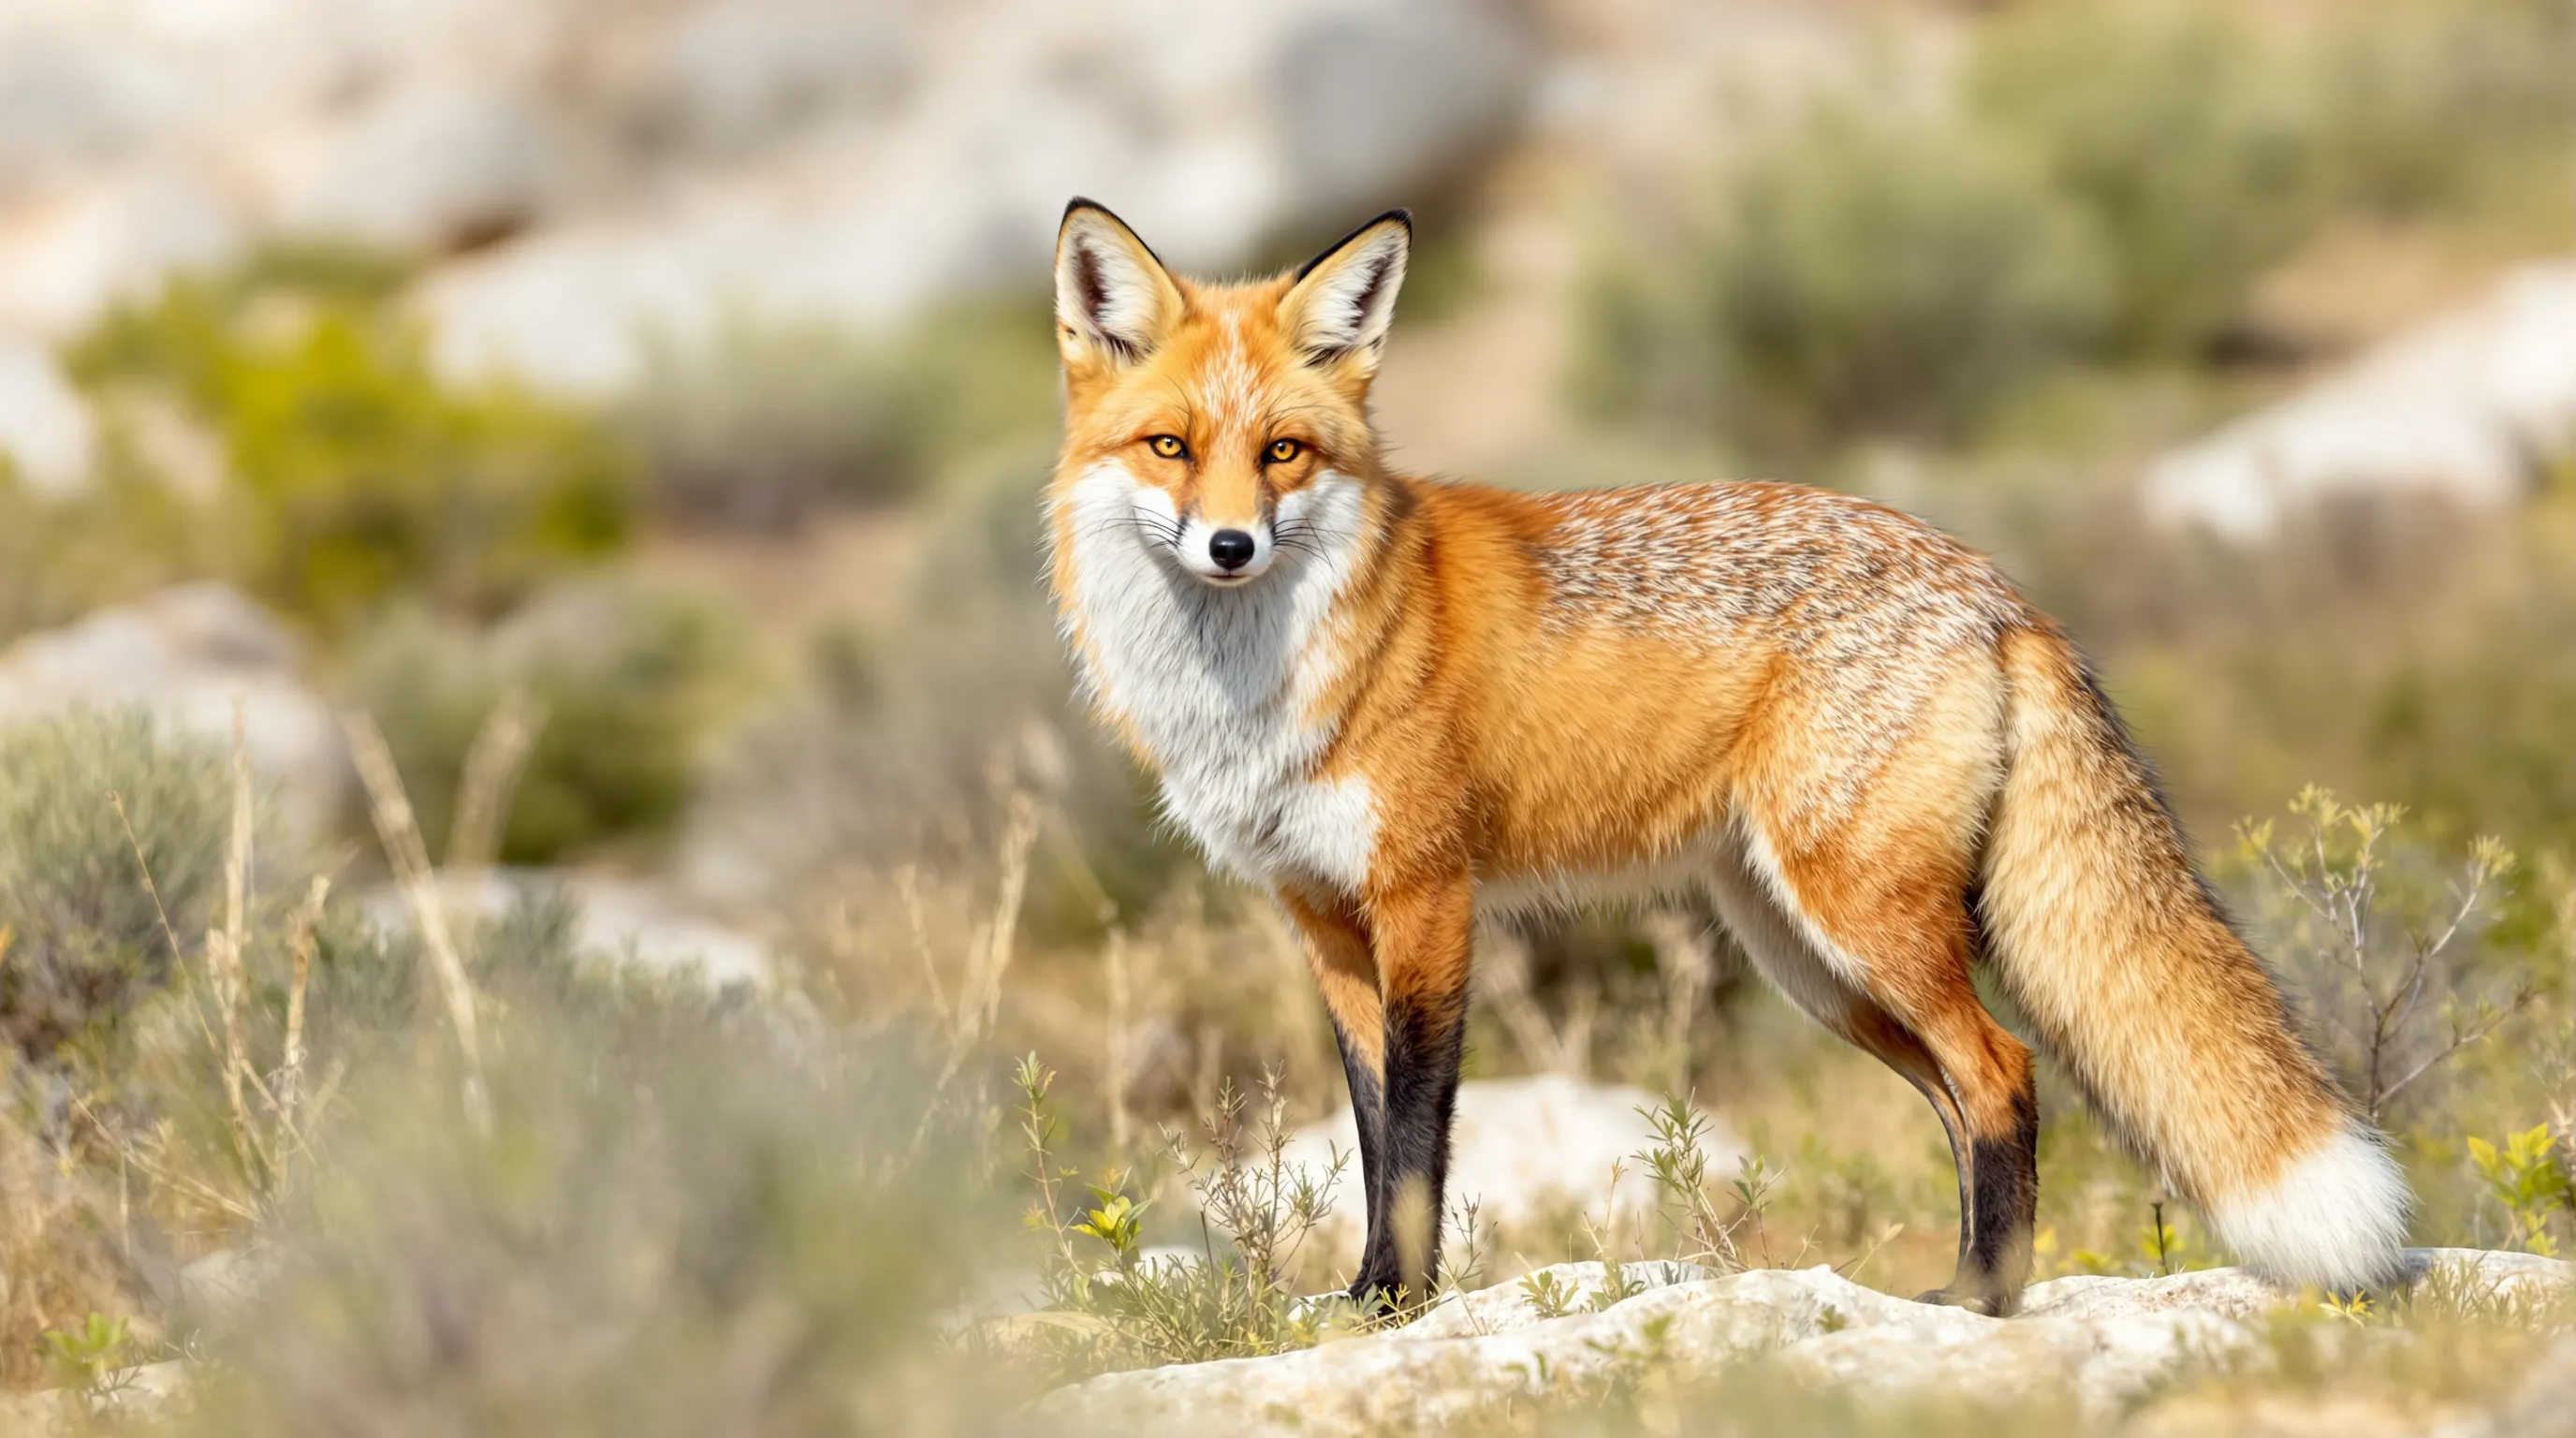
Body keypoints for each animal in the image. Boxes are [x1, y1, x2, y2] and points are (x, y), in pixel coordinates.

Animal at [1043, 198, 2411, 1315]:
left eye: (1283, 452)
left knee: (2006, 1068)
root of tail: (1998, 585)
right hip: (1811, 961)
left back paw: (1985, 1301)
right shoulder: (1323, 917)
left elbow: (1423, 1131)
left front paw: (1401, 1304)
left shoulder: (1427, 898)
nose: (1229, 547)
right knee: (1961, 1094)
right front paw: (1367, 1294)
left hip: (1859, 917)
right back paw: (1963, 1285)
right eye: (1170, 447)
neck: (1262, 688)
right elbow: (1377, 1133)